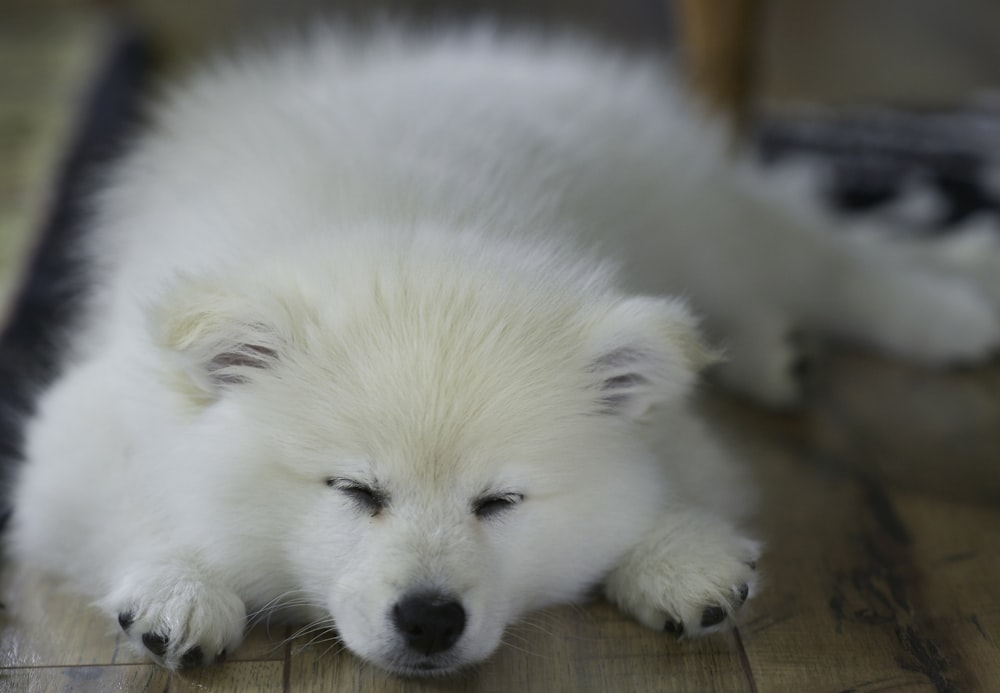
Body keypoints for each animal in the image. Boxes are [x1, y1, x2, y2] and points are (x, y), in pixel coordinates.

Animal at [5, 24, 992, 672]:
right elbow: (135, 508)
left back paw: (948, 313)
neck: (409, 232)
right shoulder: (75, 439)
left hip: (705, 219)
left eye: (500, 501)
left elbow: (676, 477)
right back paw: (786, 347)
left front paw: (680, 558)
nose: (430, 617)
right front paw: (178, 589)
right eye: (356, 490)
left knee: (829, 255)